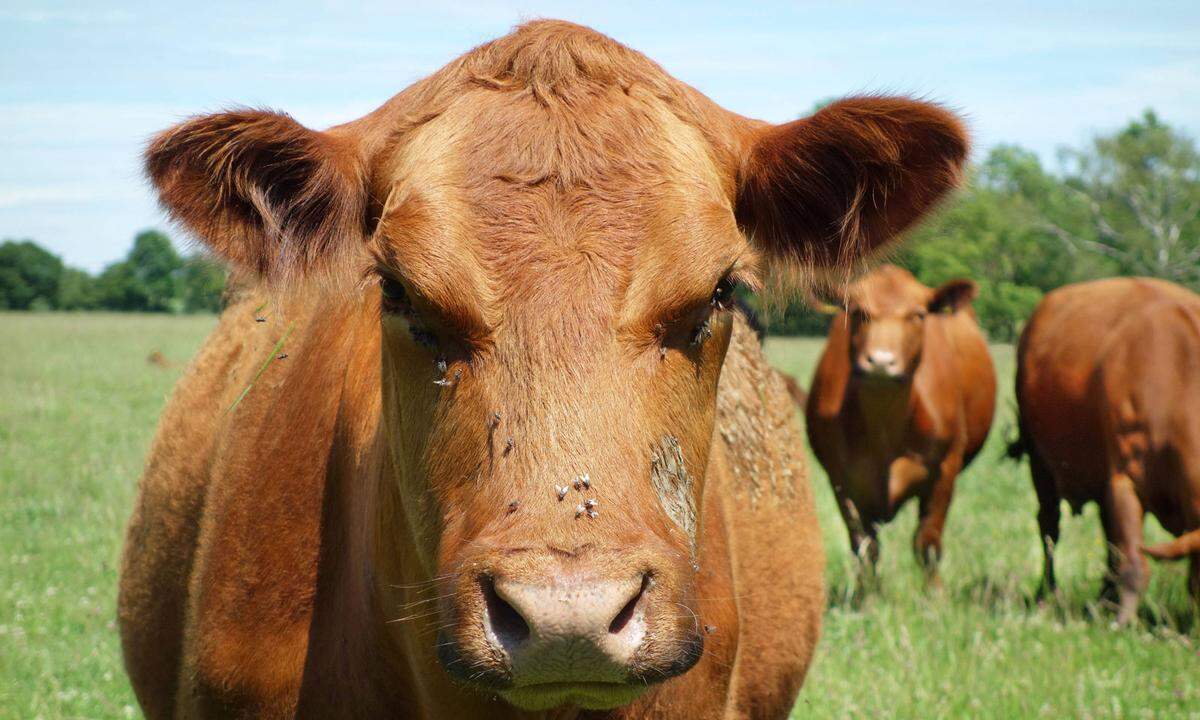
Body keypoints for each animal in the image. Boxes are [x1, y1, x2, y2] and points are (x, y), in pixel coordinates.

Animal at [806, 264, 993, 585]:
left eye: (918, 314)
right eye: (858, 311)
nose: (881, 361)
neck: (885, 431)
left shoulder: (946, 468)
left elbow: (928, 542)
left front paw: (934, 592)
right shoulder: (840, 478)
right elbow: (865, 547)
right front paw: (867, 593)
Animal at [1012, 277, 1200, 624]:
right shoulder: (1124, 480)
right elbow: (1134, 562)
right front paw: (1122, 621)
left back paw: (1103, 598)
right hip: (1040, 461)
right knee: (1049, 528)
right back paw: (1047, 593)